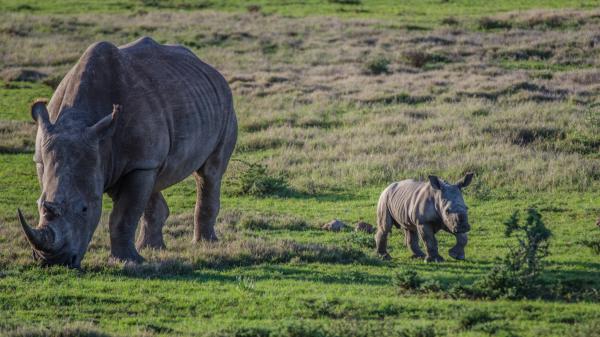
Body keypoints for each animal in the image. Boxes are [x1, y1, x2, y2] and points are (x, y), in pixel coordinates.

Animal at [16, 36, 237, 268]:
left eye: (84, 209)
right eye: (38, 205)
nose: (54, 261)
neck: (79, 120)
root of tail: (208, 67)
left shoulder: (139, 164)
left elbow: (123, 215)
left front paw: (127, 261)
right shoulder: (43, 160)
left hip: (225, 106)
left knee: (210, 173)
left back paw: (205, 244)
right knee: (153, 181)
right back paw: (152, 248)